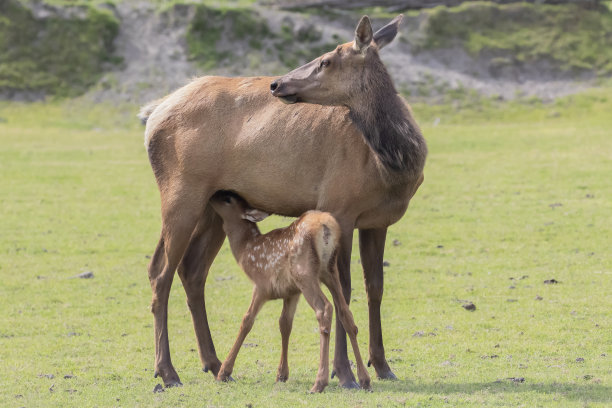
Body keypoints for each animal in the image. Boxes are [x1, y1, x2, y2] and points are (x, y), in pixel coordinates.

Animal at [210, 191, 370, 392]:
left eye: (227, 199)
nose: (211, 197)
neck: (246, 250)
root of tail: (326, 227)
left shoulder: (262, 285)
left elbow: (247, 321)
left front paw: (224, 372)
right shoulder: (291, 292)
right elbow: (285, 324)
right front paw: (281, 374)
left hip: (304, 272)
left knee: (324, 308)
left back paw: (319, 383)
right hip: (329, 271)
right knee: (345, 313)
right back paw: (364, 379)